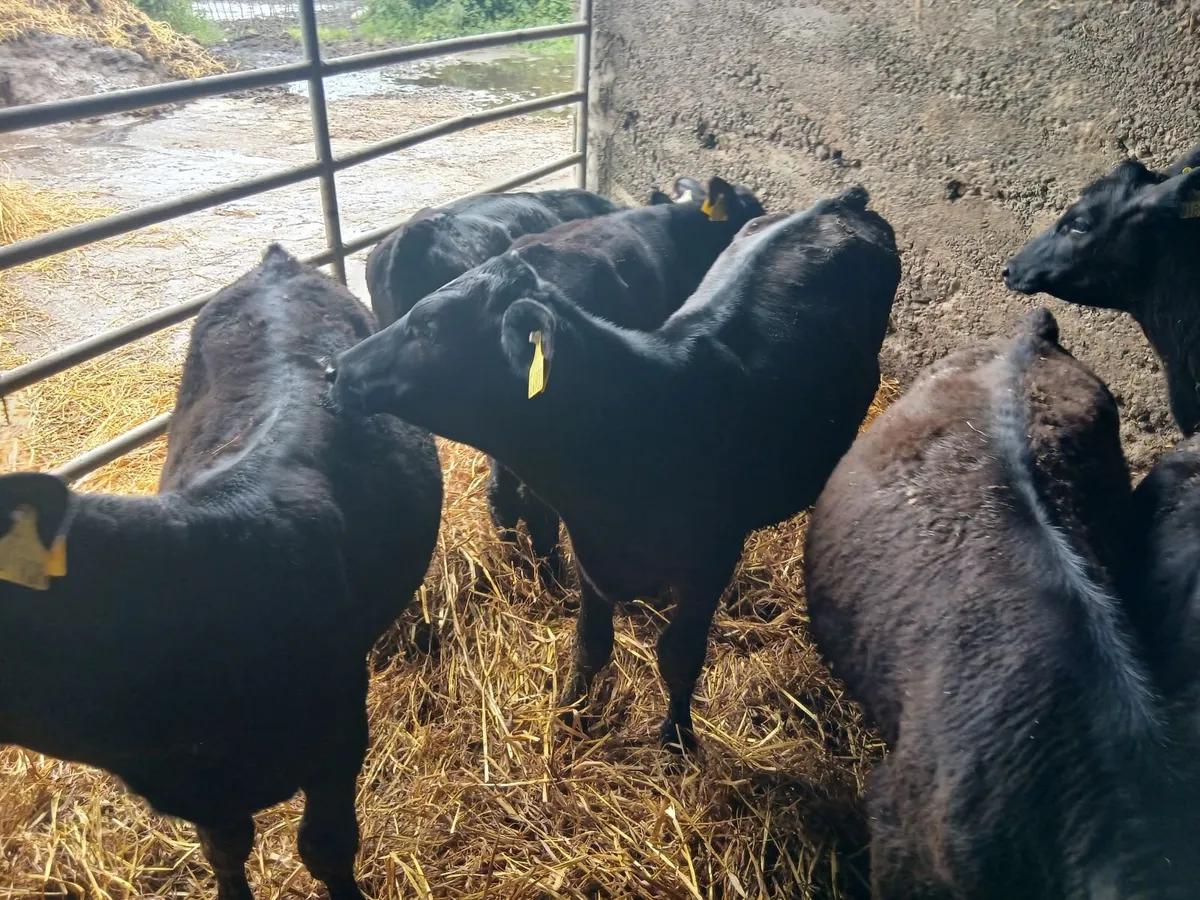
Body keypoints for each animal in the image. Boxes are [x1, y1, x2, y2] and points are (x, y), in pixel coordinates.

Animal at [327, 186, 899, 752]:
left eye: (429, 323)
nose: (336, 368)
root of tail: (836, 201)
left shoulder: (710, 562)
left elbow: (679, 654)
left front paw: (677, 739)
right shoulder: (592, 556)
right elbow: (590, 644)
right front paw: (568, 717)